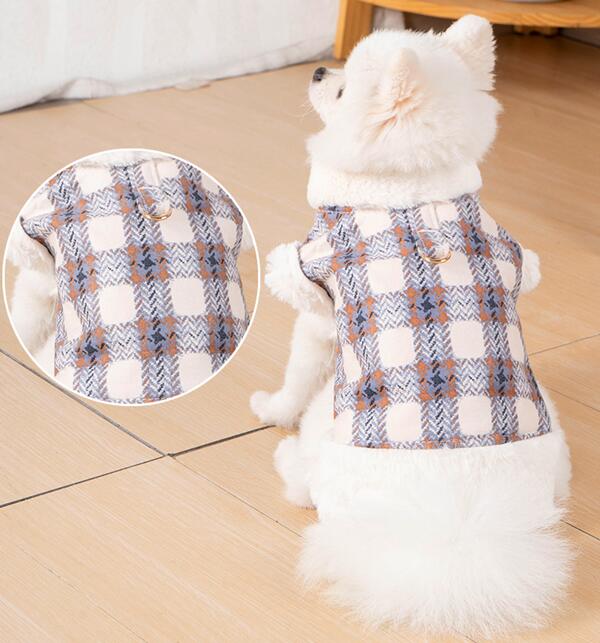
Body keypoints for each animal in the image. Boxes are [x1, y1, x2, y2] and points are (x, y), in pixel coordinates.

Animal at [251, 15, 572, 638]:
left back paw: (287, 461)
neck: (416, 185)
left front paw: (271, 409)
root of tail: (449, 525)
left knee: (307, 485)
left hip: (333, 421)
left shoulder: (317, 294)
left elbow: (296, 373)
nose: (319, 69)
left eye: (344, 91)